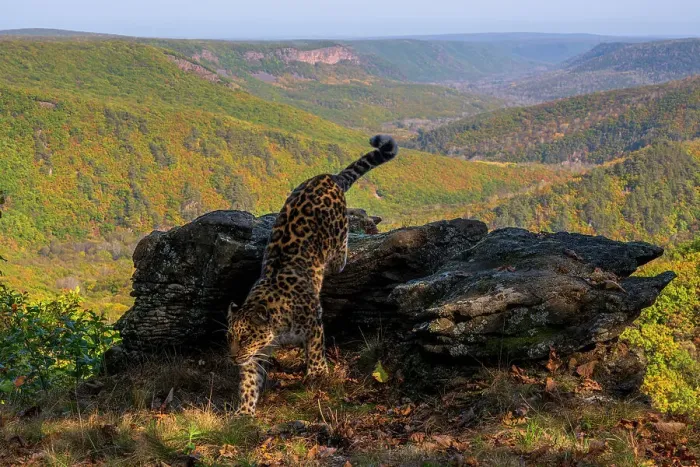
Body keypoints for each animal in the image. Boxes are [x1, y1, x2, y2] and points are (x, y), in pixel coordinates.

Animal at [227, 134, 398, 415]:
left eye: (246, 337)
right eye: (229, 337)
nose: (232, 357)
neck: (276, 329)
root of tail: (326, 177)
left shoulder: (313, 322)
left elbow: (316, 349)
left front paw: (317, 374)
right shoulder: (256, 355)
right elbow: (250, 380)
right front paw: (243, 411)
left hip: (337, 244)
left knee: (340, 254)